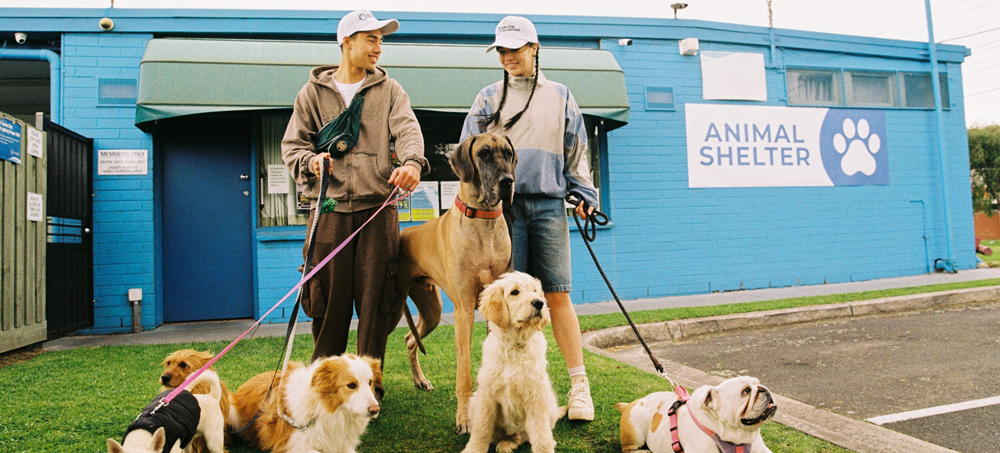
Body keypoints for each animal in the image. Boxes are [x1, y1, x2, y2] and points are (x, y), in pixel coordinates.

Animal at [458, 272, 564, 452]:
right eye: (515, 292)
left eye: (535, 291)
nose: (539, 303)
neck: (515, 347)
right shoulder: (487, 395)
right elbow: (481, 428)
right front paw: (473, 449)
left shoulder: (536, 395)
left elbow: (541, 433)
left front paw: (546, 448)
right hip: (474, 402)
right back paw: (506, 444)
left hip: (550, 402)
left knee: (528, 436)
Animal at [616, 376, 772, 452]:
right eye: (746, 391)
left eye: (759, 382)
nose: (763, 388)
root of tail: (629, 405)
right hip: (635, 428)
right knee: (628, 448)